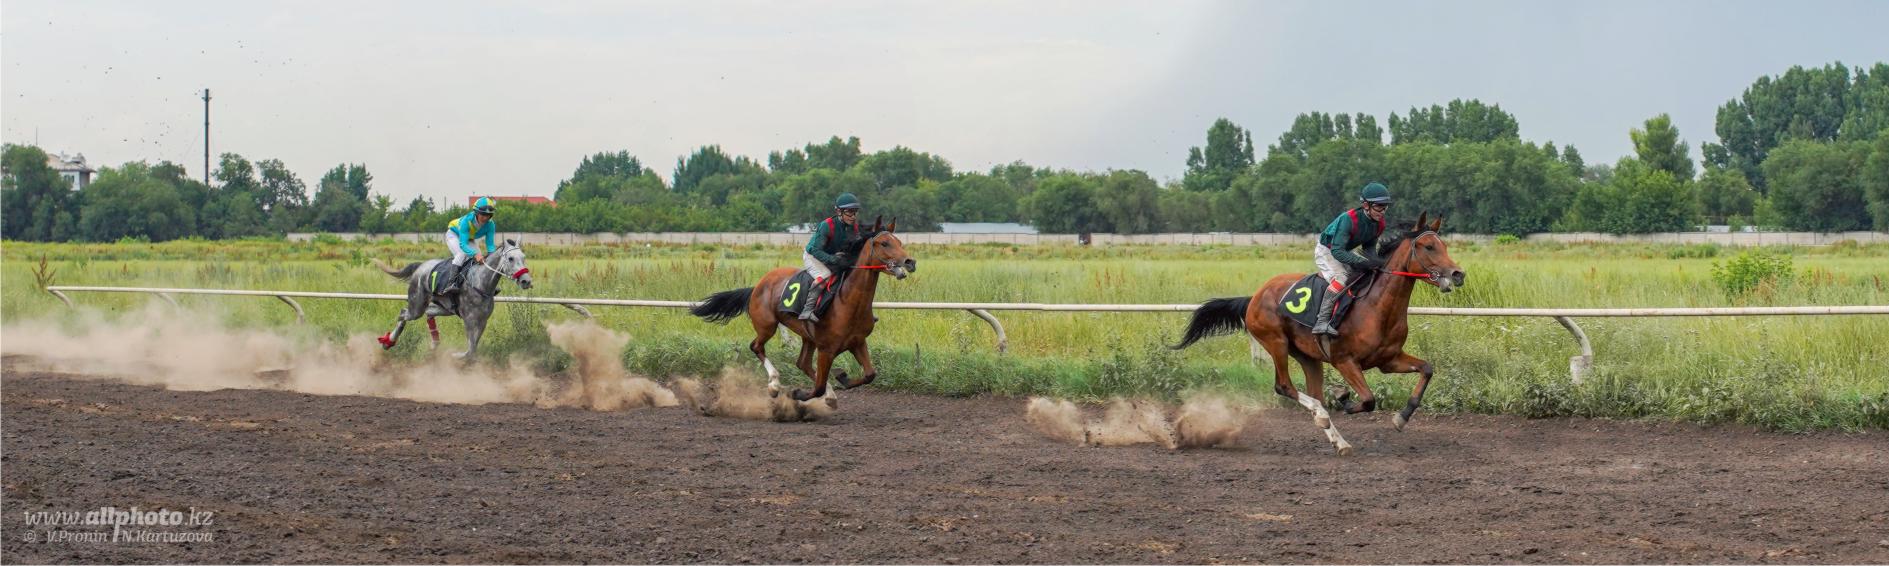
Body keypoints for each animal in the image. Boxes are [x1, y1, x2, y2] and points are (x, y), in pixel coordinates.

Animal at [373, 239, 534, 359]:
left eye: (523, 257)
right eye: (511, 258)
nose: (526, 281)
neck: (480, 284)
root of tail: (421, 266)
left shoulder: (482, 320)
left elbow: (473, 348)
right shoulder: (469, 319)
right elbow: (470, 350)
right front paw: (455, 356)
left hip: (444, 308)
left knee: (429, 312)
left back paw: (434, 343)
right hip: (416, 305)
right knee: (403, 313)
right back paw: (388, 342)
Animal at [689, 216, 916, 406]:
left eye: (899, 242)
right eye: (884, 243)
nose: (910, 262)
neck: (850, 302)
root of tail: (757, 285)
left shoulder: (857, 342)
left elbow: (869, 375)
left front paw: (842, 378)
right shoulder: (826, 349)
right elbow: (818, 387)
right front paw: (798, 393)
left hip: (807, 336)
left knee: (803, 363)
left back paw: (827, 395)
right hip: (767, 325)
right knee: (756, 347)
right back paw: (774, 385)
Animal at [1171, 213, 1465, 455]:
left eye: (1444, 245)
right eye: (1429, 246)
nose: (1457, 274)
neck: (1377, 307)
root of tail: (1253, 297)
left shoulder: (1388, 360)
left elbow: (1427, 369)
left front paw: (1401, 417)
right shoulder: (1344, 360)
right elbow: (1368, 400)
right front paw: (1344, 398)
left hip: (1308, 356)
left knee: (1314, 393)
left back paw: (1339, 440)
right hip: (1275, 342)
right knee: (1284, 386)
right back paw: (1323, 415)